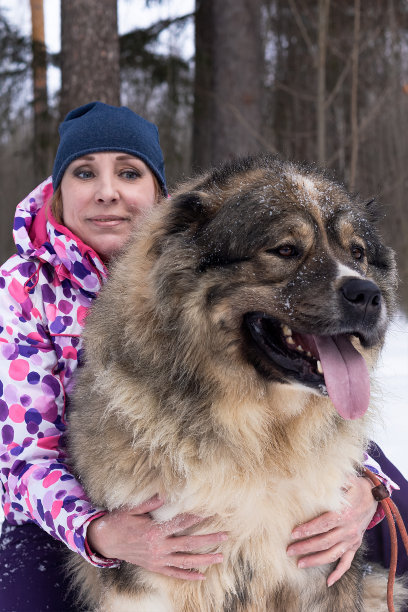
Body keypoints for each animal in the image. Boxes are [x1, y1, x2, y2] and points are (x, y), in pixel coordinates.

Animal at [67, 155, 404, 608]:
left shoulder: (320, 565)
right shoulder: (153, 575)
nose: (367, 295)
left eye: (358, 252)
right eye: (285, 250)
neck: (260, 443)